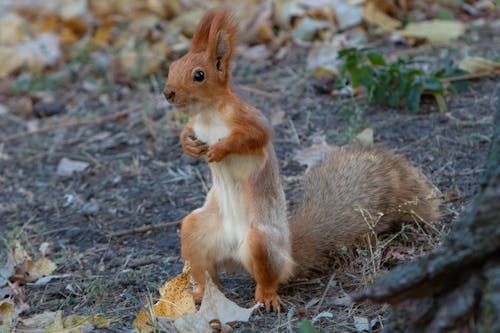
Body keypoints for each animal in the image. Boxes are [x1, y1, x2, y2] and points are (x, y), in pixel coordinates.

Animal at [163, 10, 438, 312]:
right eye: (172, 66)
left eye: (199, 75)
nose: (168, 93)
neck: (208, 114)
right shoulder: (196, 124)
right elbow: (186, 131)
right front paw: (188, 145)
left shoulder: (248, 118)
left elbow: (255, 136)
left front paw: (219, 150)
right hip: (197, 232)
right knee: (208, 274)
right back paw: (200, 294)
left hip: (262, 242)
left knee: (268, 278)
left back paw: (267, 297)